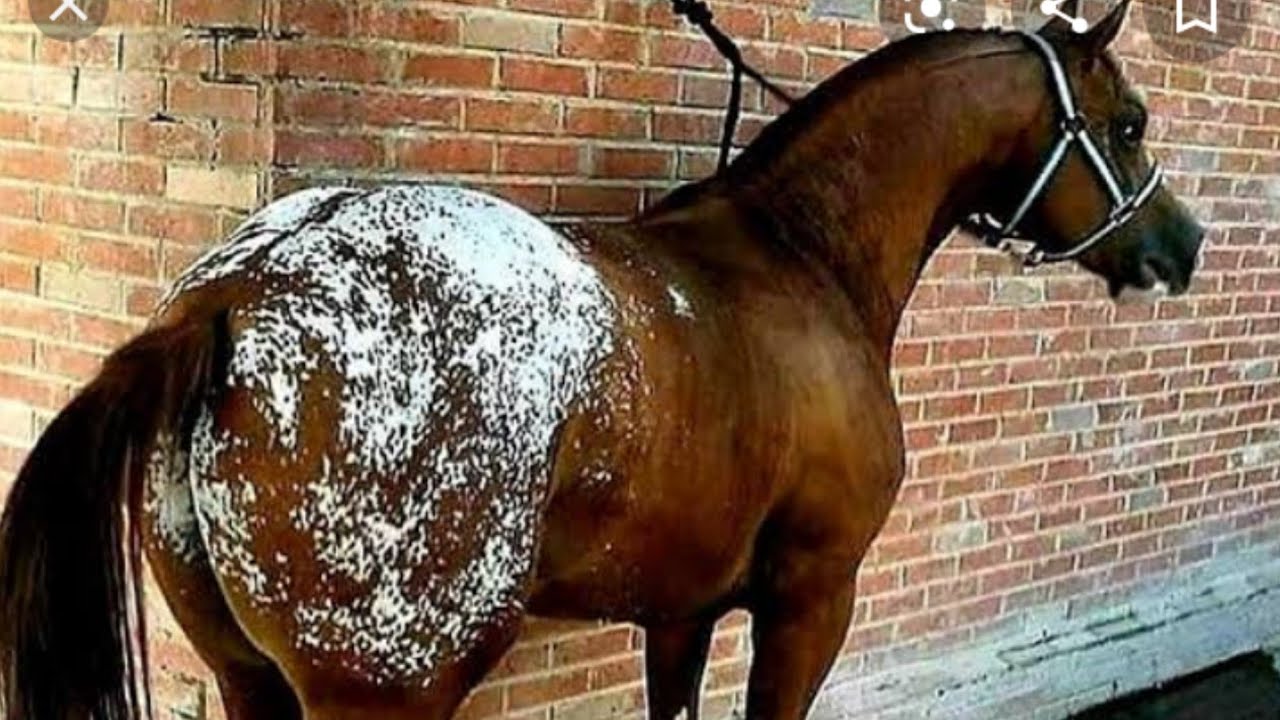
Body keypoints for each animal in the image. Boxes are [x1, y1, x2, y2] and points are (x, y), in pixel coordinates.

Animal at [0, 3, 1204, 719]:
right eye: (1129, 123)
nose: (1182, 245)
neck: (799, 253)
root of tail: (235, 295)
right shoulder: (813, 598)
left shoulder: (680, 609)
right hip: (380, 691)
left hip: (244, 675)